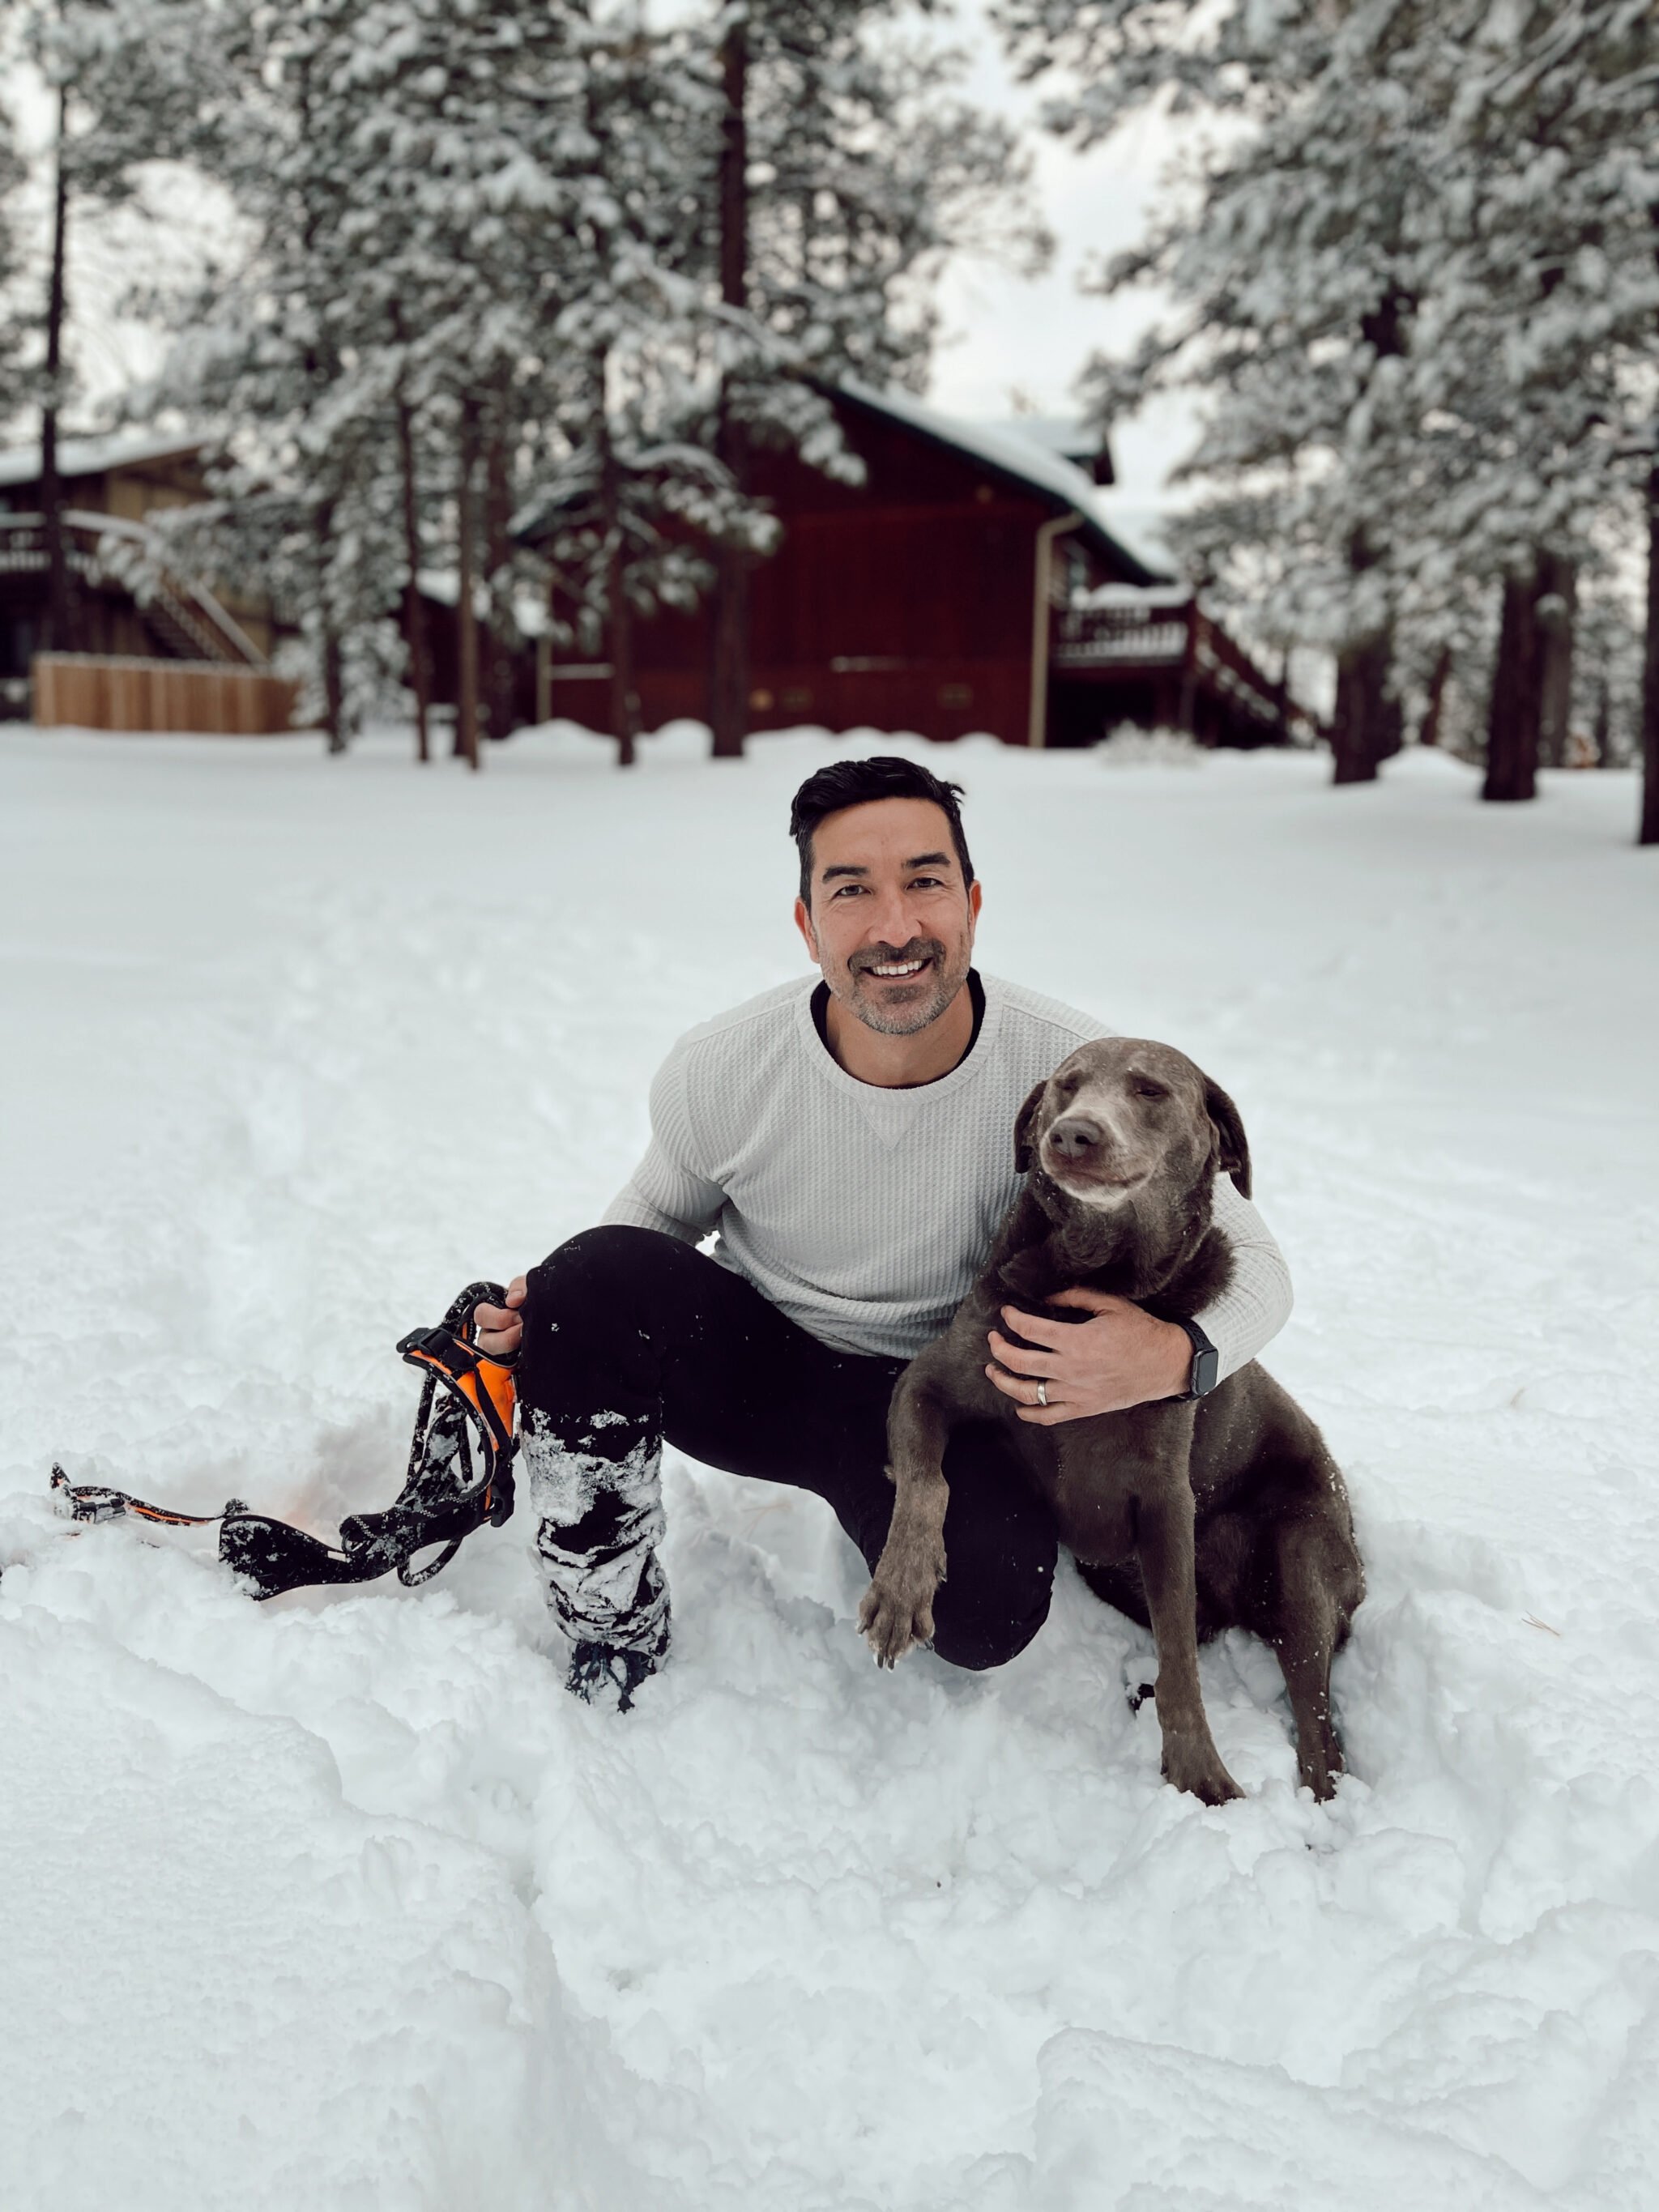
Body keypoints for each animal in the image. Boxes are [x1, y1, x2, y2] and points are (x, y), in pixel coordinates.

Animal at [858, 1035, 1363, 1796]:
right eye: (1065, 1087)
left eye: (1150, 1090)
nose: (1073, 1134)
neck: (1092, 1275)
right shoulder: (927, 1385)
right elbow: (927, 1484)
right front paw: (902, 1586)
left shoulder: (1165, 1498)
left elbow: (1181, 1658)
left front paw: (1199, 1767)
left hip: (1304, 1557)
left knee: (1317, 1722)